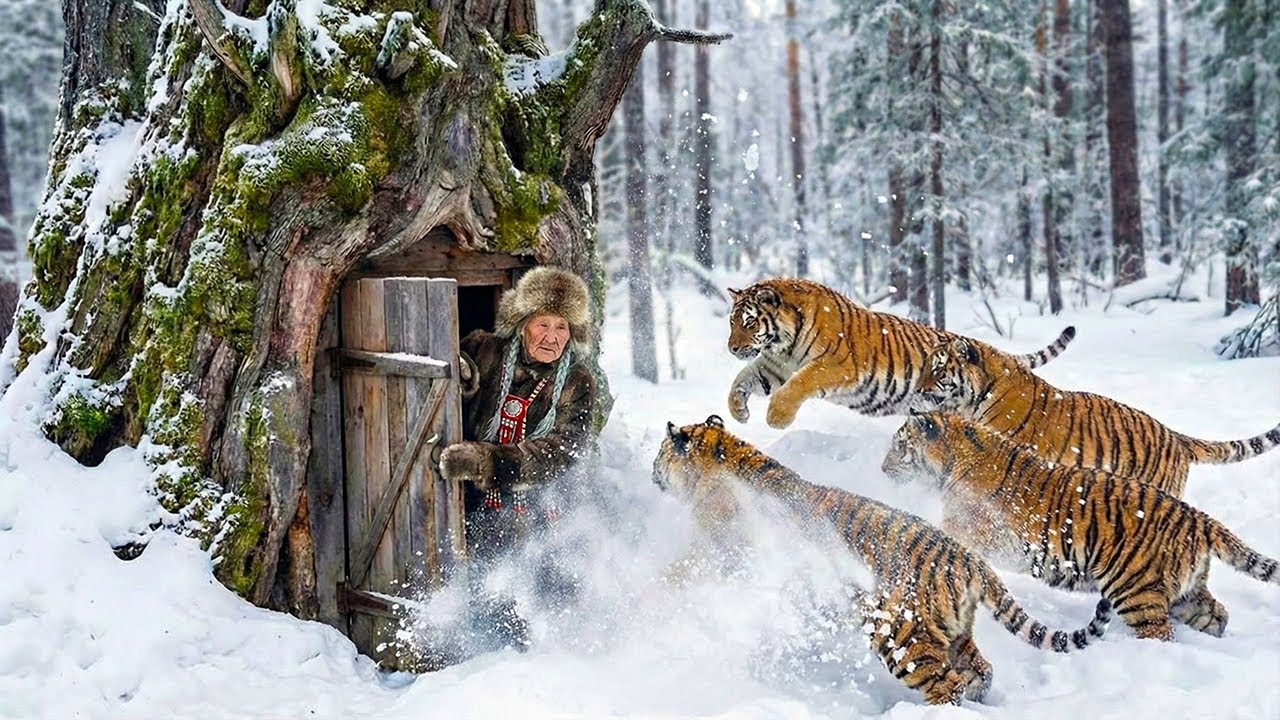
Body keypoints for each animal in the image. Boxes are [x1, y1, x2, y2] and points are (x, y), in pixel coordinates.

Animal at [653, 415, 1113, 706]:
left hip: (901, 635)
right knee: (981, 670)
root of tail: (968, 558)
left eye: (659, 452)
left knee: (945, 686)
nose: (653, 473)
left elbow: (675, 578)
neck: (723, 458)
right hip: (954, 635)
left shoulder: (716, 553)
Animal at [725, 278, 1077, 429]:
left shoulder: (835, 365)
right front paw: (738, 411)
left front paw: (777, 418)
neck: (784, 344)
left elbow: (799, 384)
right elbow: (741, 378)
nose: (732, 348)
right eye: (732, 322)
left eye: (749, 322)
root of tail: (1000, 354)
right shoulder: (774, 367)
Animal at [882, 411, 1280, 641]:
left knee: (1160, 633)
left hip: (1137, 592)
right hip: (1185, 592)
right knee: (1217, 615)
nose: (883, 470)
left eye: (900, 445)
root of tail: (1197, 517)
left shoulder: (966, 529)